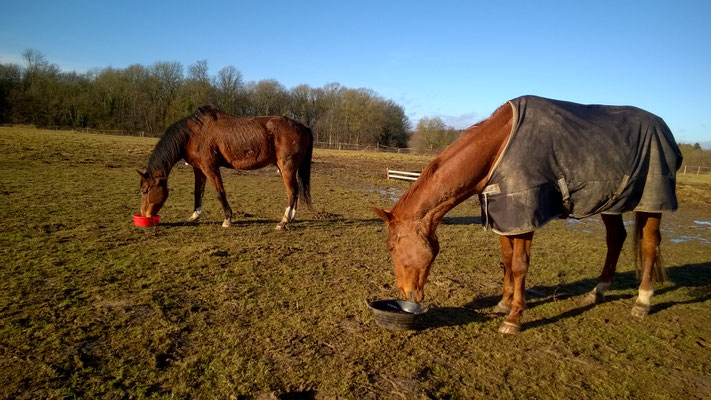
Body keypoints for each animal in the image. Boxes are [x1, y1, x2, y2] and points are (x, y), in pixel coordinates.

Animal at [140, 104, 312, 230]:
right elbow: (198, 192)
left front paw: (228, 219)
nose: (144, 215)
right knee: (295, 192)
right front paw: (194, 216)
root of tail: (302, 126)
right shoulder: (198, 169)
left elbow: (219, 192)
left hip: (287, 167)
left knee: (292, 192)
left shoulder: (210, 167)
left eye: (145, 190)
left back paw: (284, 221)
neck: (193, 134)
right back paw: (291, 219)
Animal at [376, 96, 680, 334]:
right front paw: (503, 303)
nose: (405, 293)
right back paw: (598, 292)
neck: (498, 148)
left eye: (391, 248)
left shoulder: (523, 217)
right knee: (616, 239)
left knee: (649, 244)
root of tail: (663, 127)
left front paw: (513, 318)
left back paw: (642, 302)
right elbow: (507, 261)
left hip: (651, 202)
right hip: (610, 203)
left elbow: (520, 265)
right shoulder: (503, 217)